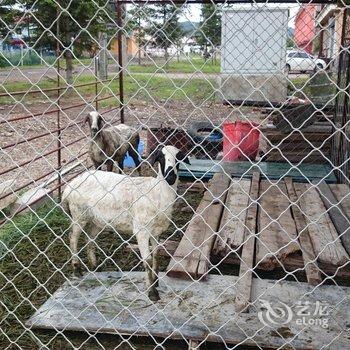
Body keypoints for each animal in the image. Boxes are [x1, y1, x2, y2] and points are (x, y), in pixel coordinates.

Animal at [61, 145, 190, 300]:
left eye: (179, 158)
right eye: (161, 157)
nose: (170, 177)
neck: (156, 192)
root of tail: (70, 185)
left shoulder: (155, 232)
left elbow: (156, 256)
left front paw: (155, 281)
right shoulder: (141, 230)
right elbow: (147, 260)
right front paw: (152, 292)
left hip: (97, 220)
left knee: (89, 239)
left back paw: (95, 266)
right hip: (79, 214)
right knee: (73, 238)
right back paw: (77, 268)